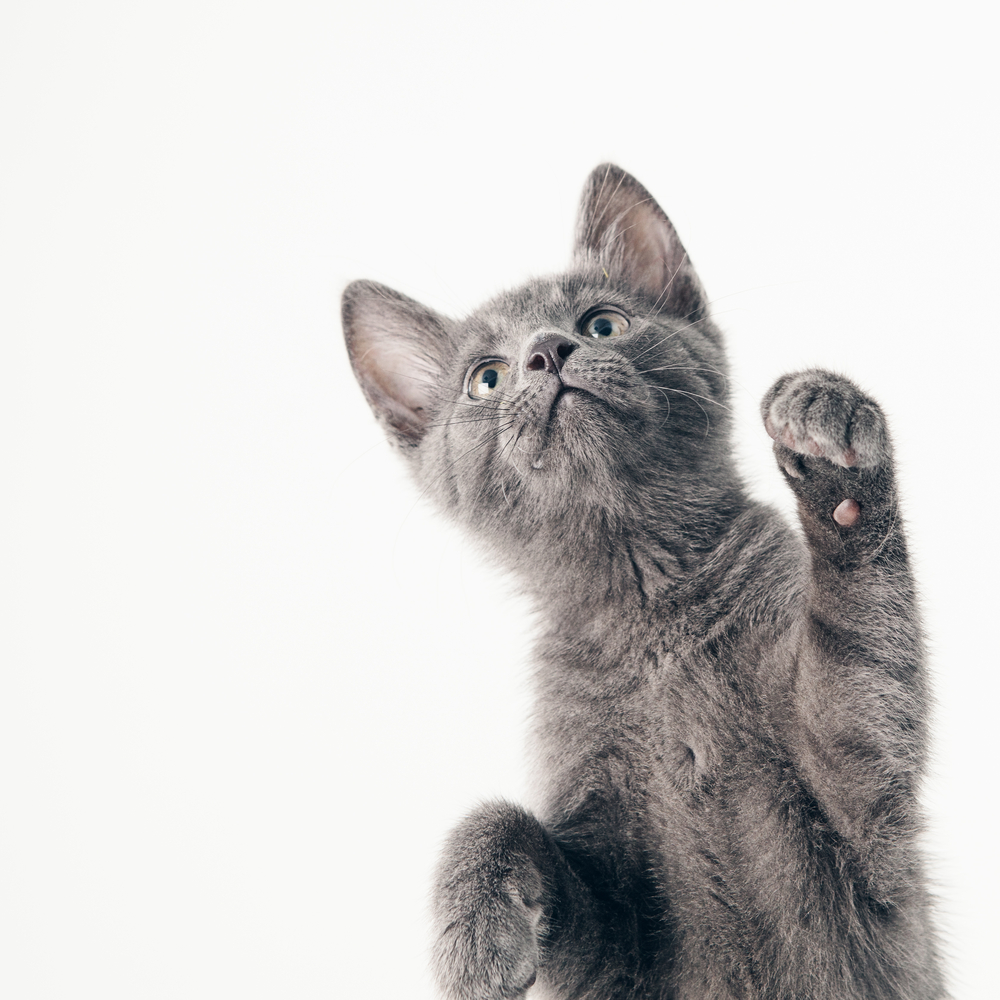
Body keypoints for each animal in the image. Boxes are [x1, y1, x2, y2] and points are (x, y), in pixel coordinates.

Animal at [342, 166, 944, 1000]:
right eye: (485, 379)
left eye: (602, 324)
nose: (546, 352)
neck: (650, 607)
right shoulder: (620, 947)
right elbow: (500, 823)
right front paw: (474, 936)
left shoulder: (855, 792)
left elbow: (860, 642)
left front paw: (831, 446)